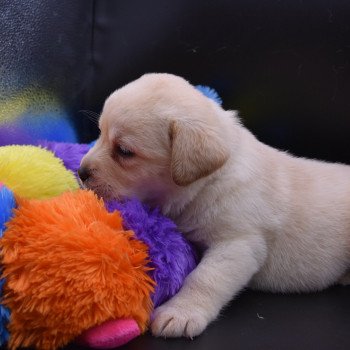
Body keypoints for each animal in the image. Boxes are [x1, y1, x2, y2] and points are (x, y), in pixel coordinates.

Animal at [79, 73, 350, 340]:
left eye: (124, 151)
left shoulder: (238, 244)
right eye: (100, 133)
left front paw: (181, 312)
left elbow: (204, 277)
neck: (208, 183)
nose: (81, 172)